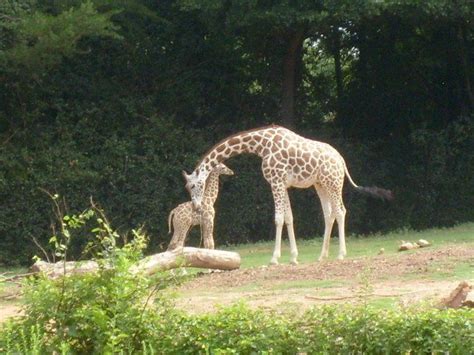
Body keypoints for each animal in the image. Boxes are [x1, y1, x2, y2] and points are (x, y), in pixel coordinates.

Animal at [183, 126, 390, 266]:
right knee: (328, 214)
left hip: (334, 183)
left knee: (340, 211)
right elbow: (289, 218)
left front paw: (274, 259)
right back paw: (322, 256)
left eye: (192, 185)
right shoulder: (283, 184)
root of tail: (341, 159)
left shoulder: (275, 182)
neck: (261, 146)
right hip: (320, 184)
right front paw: (293, 257)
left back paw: (340, 254)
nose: (196, 207)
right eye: (187, 187)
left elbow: (279, 218)